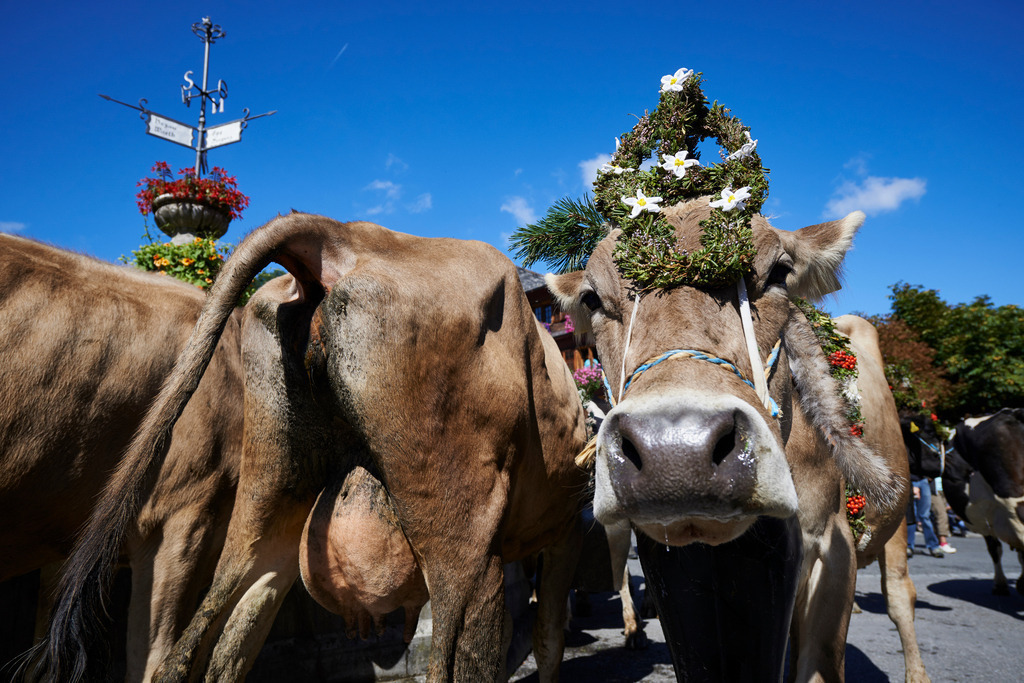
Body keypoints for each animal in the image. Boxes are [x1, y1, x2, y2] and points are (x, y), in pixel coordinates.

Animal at [34, 213, 590, 682]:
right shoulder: (565, 528)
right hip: (464, 524)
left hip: (271, 491)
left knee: (202, 645)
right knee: (461, 652)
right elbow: (548, 635)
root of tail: (346, 235)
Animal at [546, 198, 925, 681]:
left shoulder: (832, 547)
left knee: (900, 596)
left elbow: (820, 661)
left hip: (897, 519)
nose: (676, 451)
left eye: (780, 272)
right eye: (591, 297)